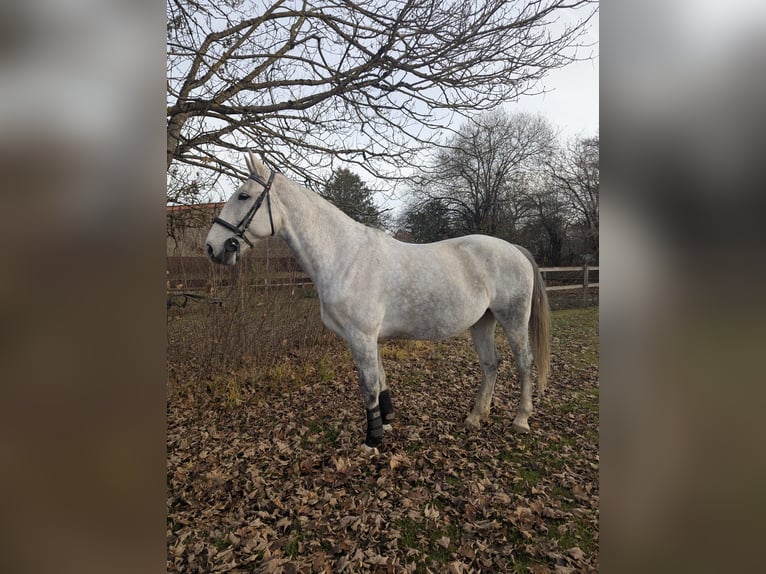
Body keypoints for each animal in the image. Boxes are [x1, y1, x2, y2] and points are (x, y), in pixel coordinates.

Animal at [205, 153, 551, 453]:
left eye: (243, 196)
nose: (212, 247)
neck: (346, 256)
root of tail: (515, 249)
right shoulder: (370, 339)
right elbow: (381, 379)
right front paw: (386, 422)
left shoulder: (361, 336)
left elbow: (368, 385)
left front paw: (372, 439)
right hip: (482, 321)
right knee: (491, 363)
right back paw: (476, 416)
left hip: (513, 319)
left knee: (524, 363)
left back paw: (521, 419)